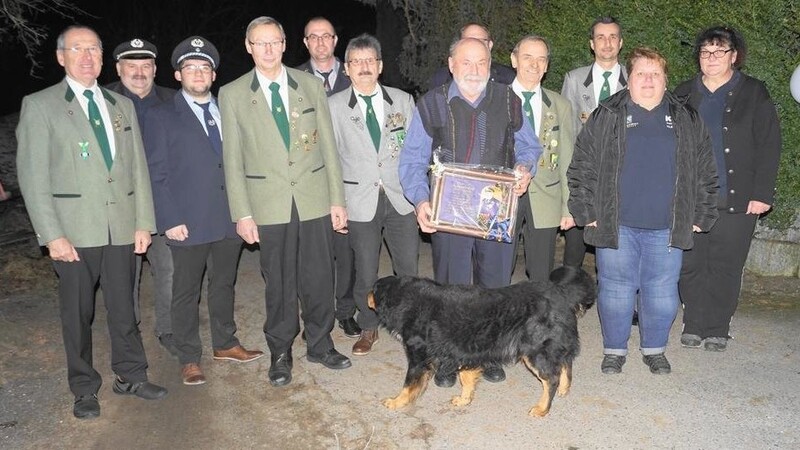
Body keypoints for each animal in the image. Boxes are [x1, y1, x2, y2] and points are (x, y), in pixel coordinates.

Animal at [368, 266, 592, 416]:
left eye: (373, 289)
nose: (365, 295)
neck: (409, 300)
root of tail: (562, 293)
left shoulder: (419, 358)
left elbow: (408, 385)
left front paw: (396, 402)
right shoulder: (465, 352)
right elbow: (466, 379)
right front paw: (464, 400)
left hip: (536, 351)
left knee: (551, 378)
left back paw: (542, 408)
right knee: (566, 363)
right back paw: (564, 388)